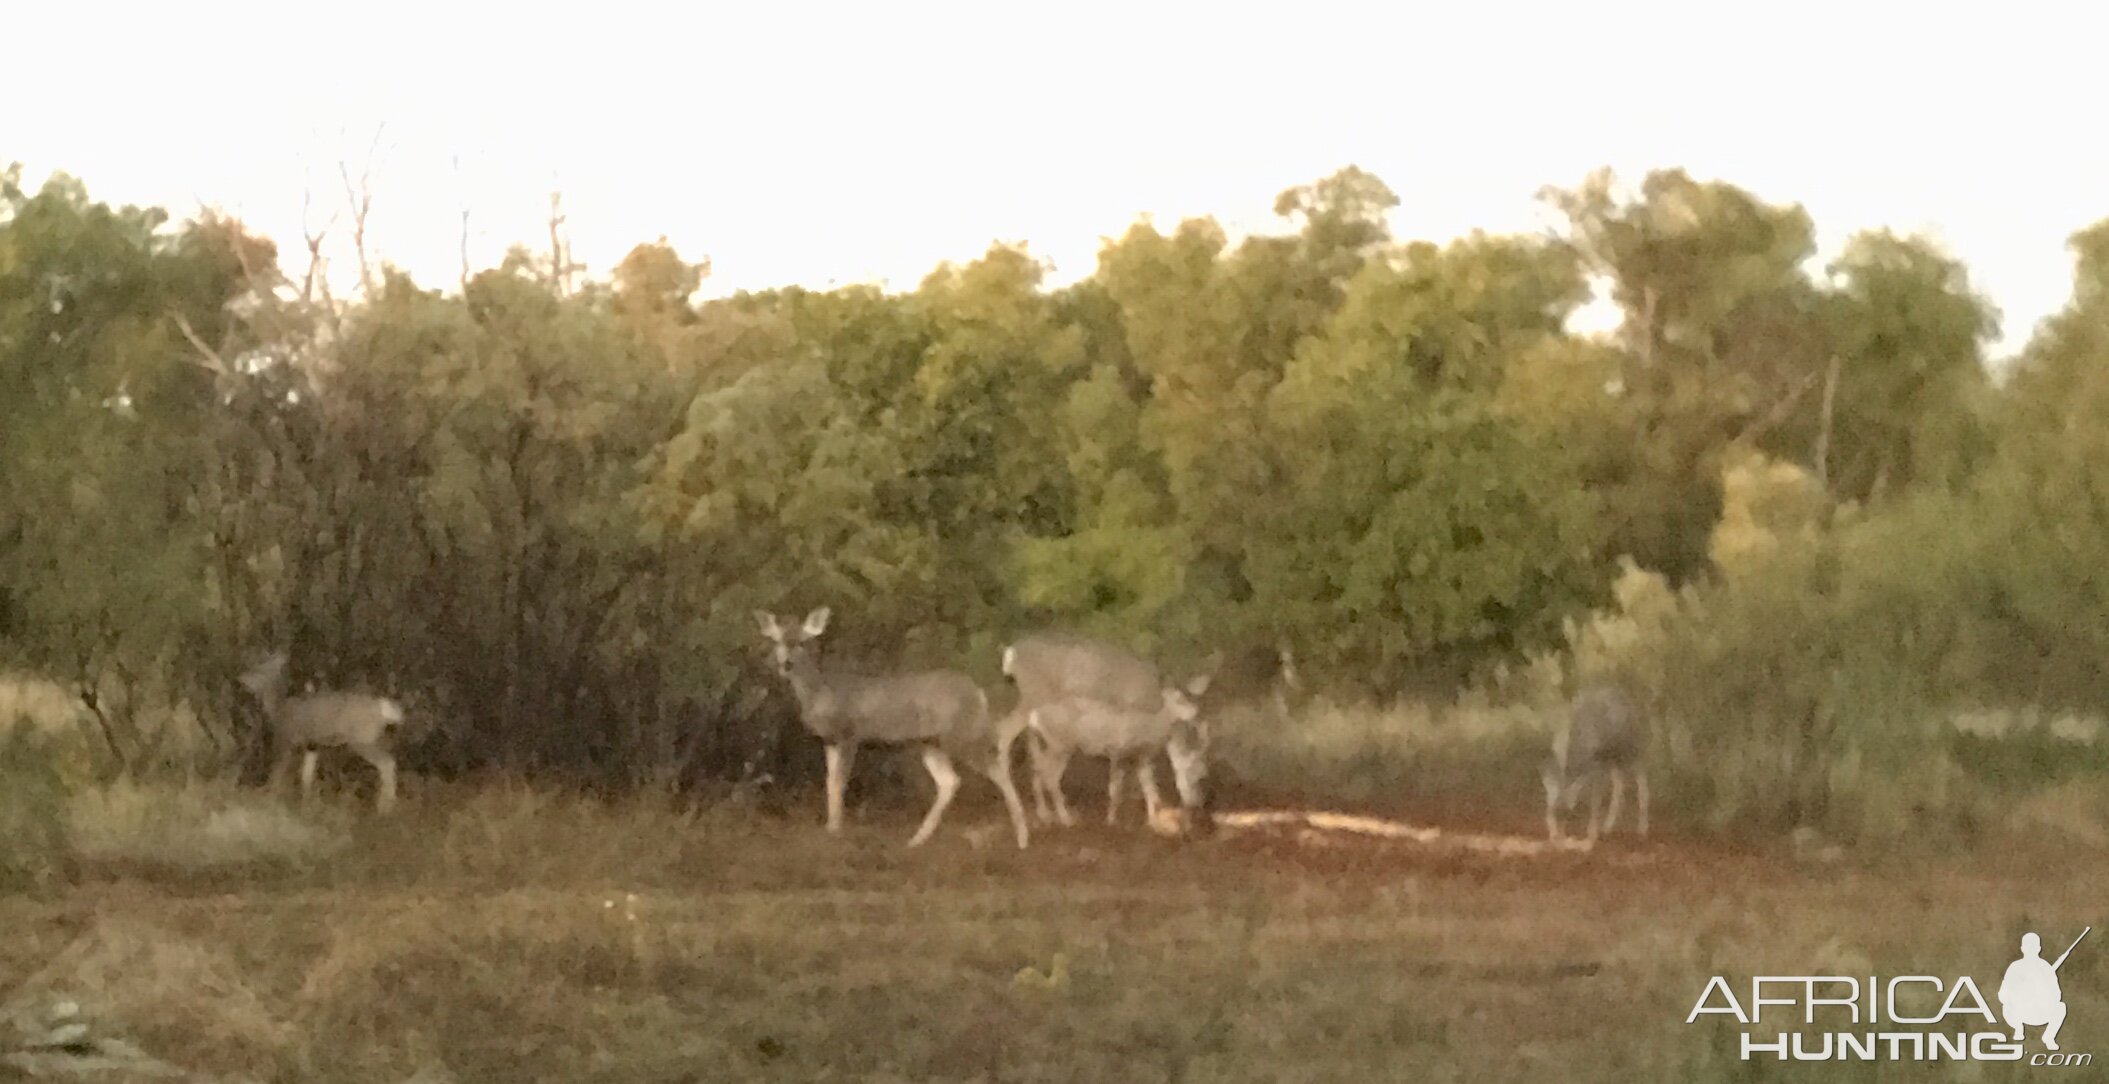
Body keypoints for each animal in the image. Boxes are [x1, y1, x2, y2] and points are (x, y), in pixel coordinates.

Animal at [239, 649, 411, 809]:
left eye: (259, 668)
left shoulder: (286, 737)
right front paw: (306, 802)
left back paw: (384, 807)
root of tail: (385, 709)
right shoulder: (312, 745)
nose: (241, 679)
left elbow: (277, 770)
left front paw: (270, 795)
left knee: (387, 763)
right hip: (375, 738)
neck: (278, 708)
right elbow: (306, 775)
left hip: (362, 739)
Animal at [755, 603, 1033, 847]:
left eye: (801, 642)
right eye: (778, 641)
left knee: (998, 768)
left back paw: (1022, 838)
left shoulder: (850, 734)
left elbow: (839, 782)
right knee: (950, 781)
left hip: (962, 734)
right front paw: (830, 828)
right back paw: (916, 840)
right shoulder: (830, 740)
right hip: (930, 742)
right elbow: (829, 781)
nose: (786, 664)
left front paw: (836, 831)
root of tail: (977, 692)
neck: (821, 693)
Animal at [1024, 670, 1214, 830]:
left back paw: (1045, 815)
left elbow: (1150, 788)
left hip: (1048, 744)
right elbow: (1115, 790)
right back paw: (1066, 819)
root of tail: (1034, 717)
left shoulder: (1141, 758)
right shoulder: (1117, 752)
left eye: (1186, 697)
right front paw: (1111, 820)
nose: (1195, 711)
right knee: (1051, 777)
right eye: (1179, 700)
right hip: (1061, 744)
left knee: (1038, 770)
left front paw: (1153, 821)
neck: (1148, 727)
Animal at [1535, 683, 1645, 843]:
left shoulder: (1595, 764)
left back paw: (1642, 829)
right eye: (1551, 814)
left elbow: (1595, 802)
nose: (1557, 836)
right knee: (1619, 785)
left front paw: (1592, 834)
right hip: (1612, 759)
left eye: (1569, 814)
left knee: (1642, 782)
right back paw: (1607, 827)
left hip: (1631, 750)